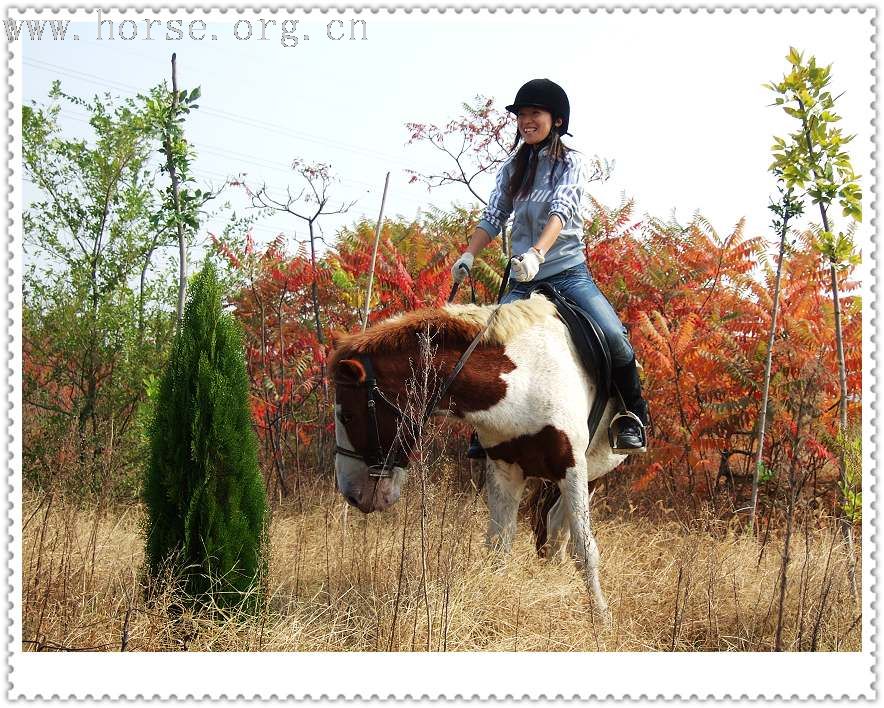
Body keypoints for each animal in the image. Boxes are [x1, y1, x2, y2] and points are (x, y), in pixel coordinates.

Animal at [332, 292, 628, 612]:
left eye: (348, 416)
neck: (525, 379)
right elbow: (498, 546)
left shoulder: (572, 468)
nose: (352, 495)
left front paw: (601, 617)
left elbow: (585, 550)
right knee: (553, 531)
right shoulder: (505, 469)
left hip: (592, 475)